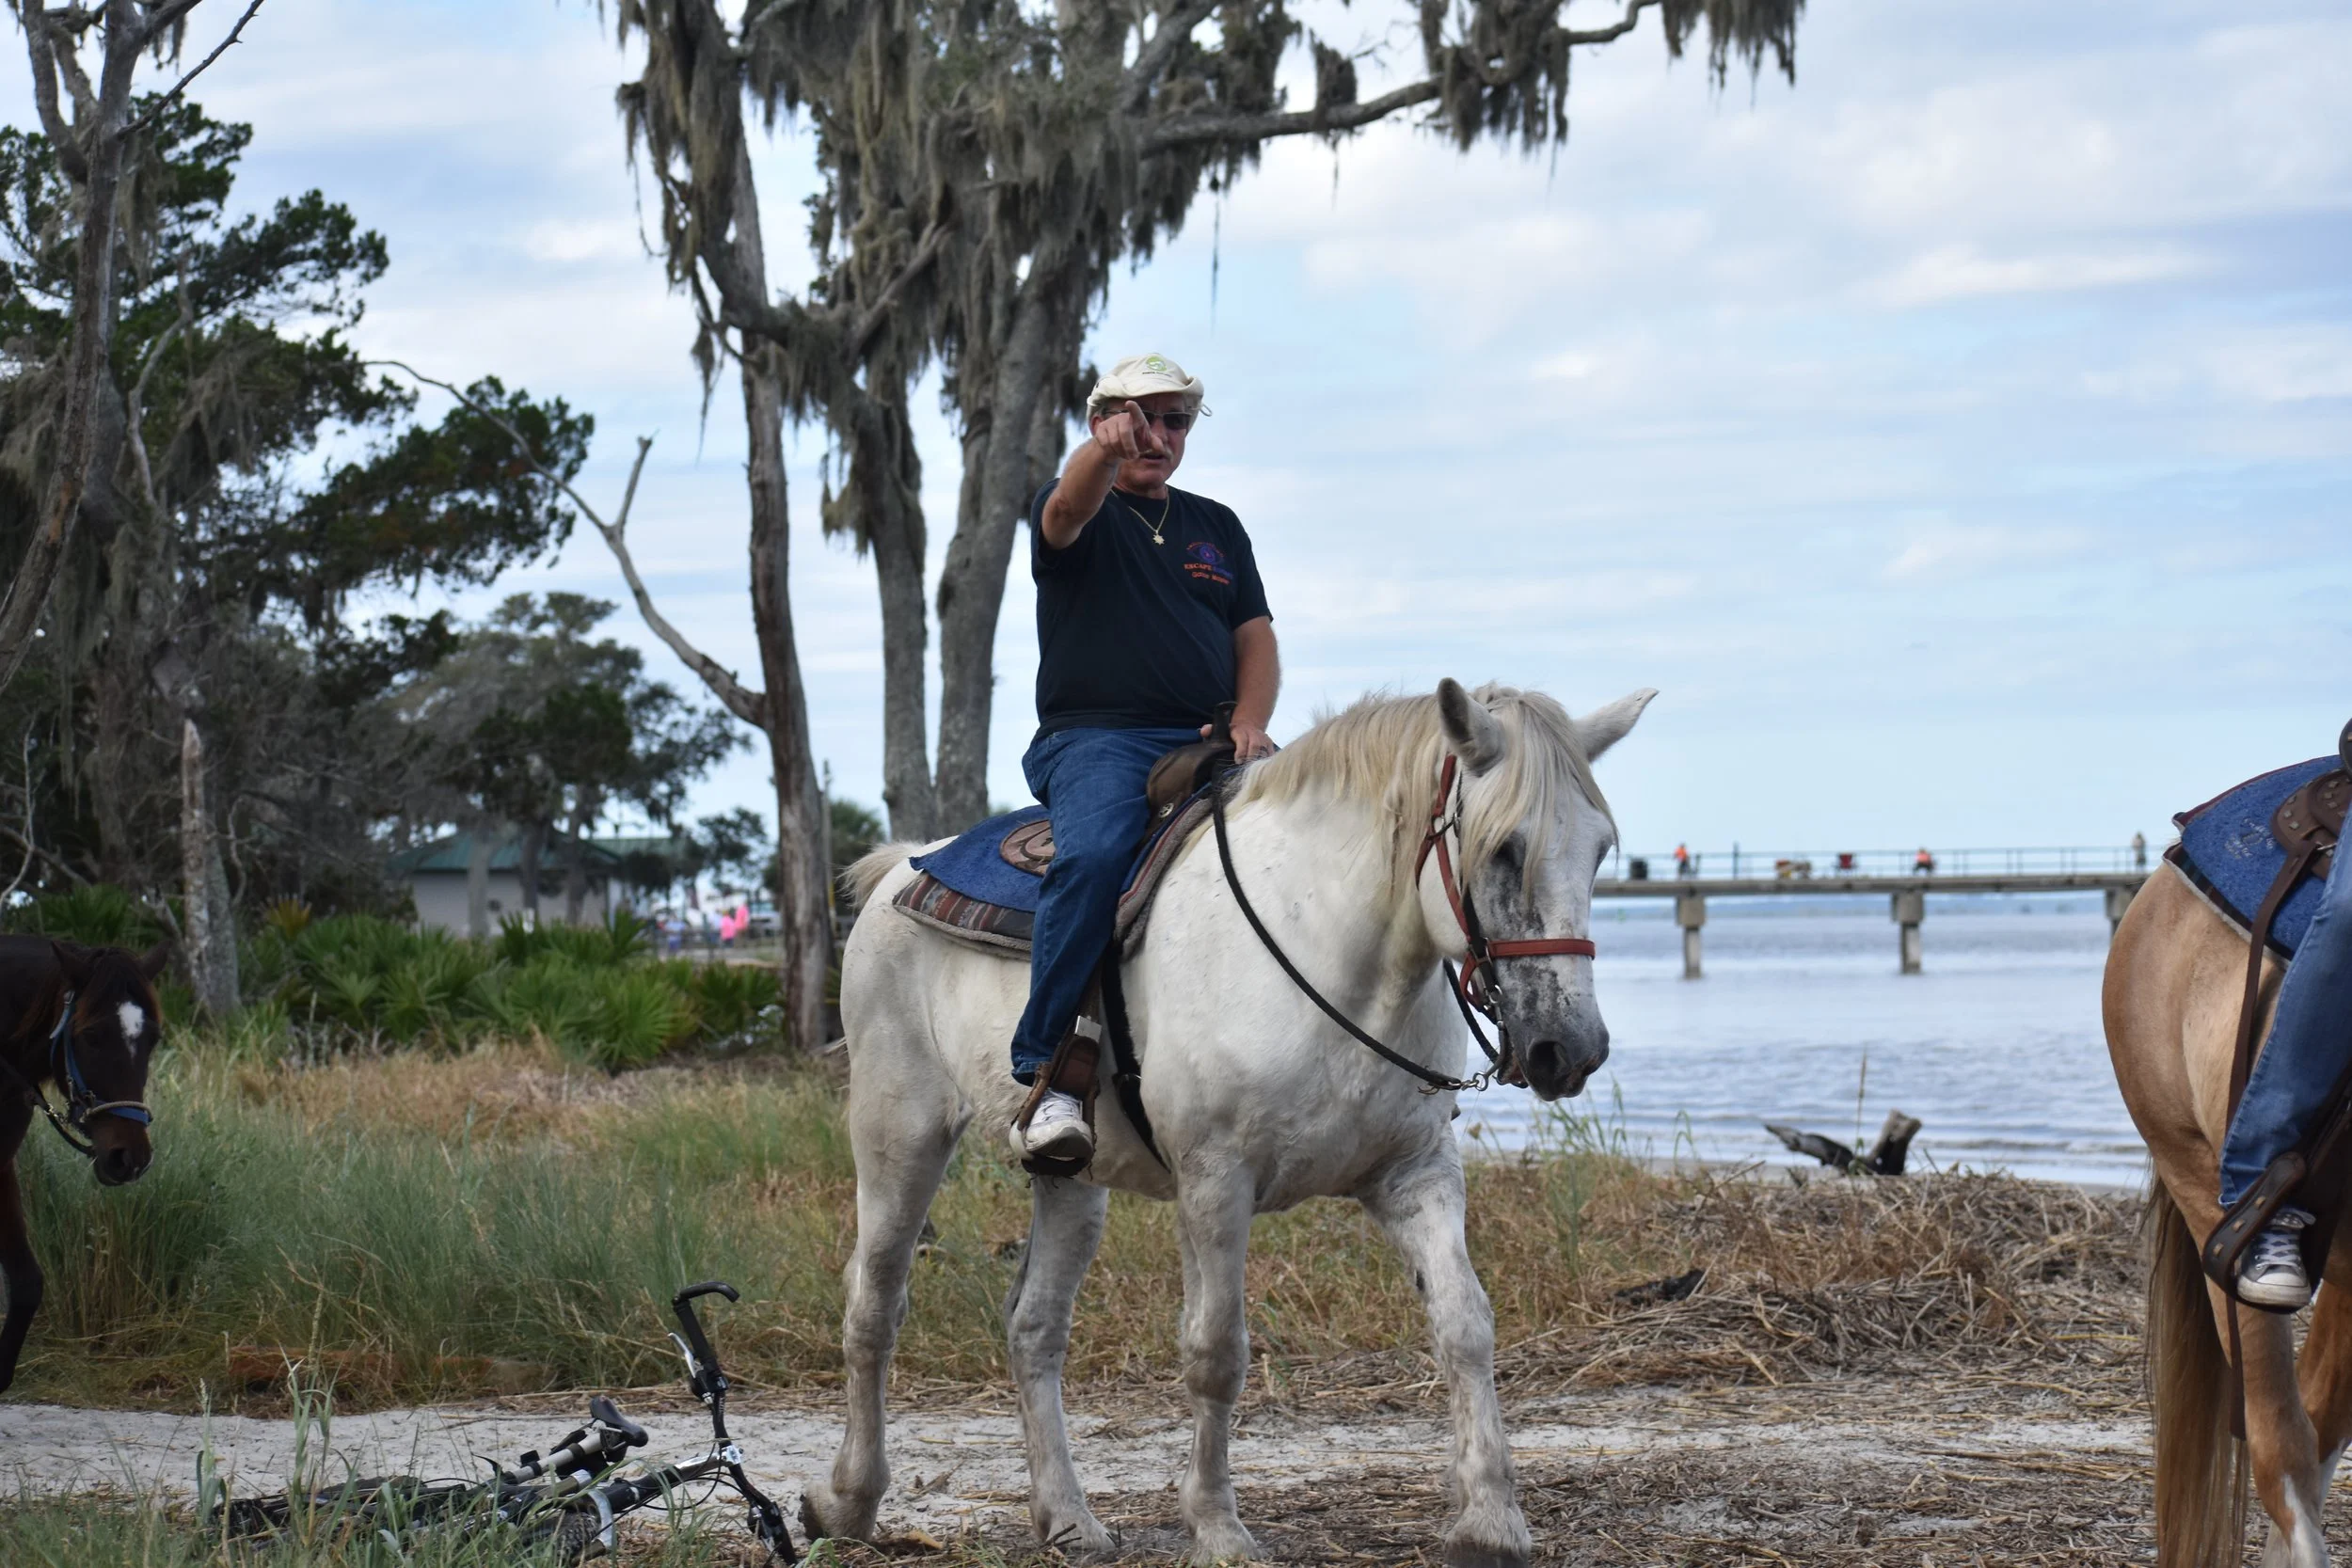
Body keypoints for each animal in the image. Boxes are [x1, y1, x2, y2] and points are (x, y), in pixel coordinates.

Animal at [805, 679, 1653, 1566]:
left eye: (1600, 850)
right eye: (1504, 850)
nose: (1572, 1048)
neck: (1325, 943)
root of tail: (901, 867)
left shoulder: (1414, 1173)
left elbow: (1465, 1321)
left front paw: (1491, 1519)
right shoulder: (1216, 1181)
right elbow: (1216, 1350)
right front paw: (1217, 1525)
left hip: (1071, 1180)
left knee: (1034, 1326)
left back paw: (1067, 1517)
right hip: (898, 1131)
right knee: (874, 1301)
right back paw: (847, 1499)